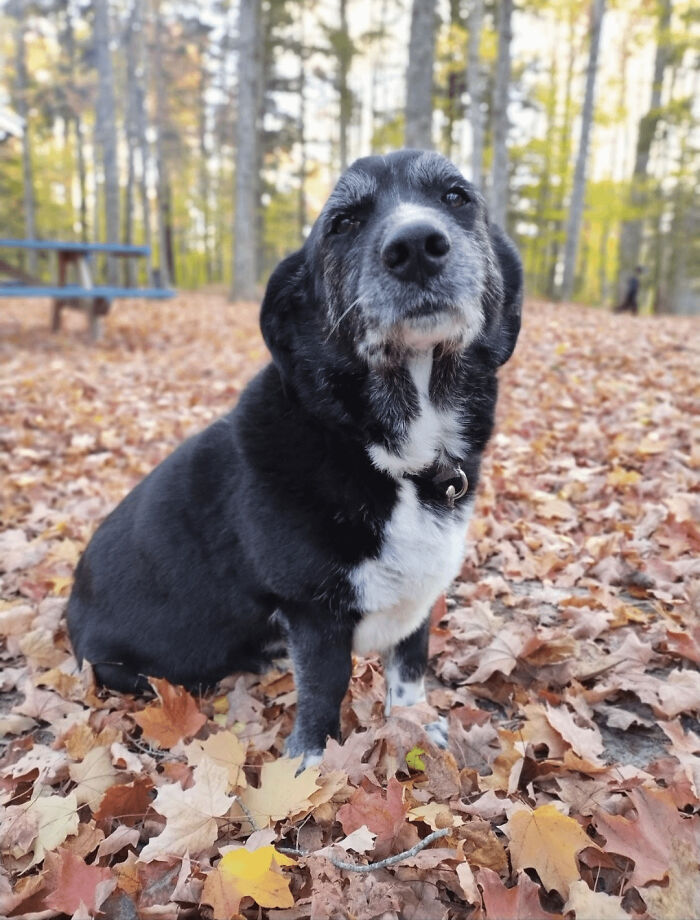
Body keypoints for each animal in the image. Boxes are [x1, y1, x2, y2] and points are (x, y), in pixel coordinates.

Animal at [68, 151, 524, 764]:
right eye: (343, 222)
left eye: (457, 197)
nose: (416, 245)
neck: (385, 449)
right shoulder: (313, 610)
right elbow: (327, 684)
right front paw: (313, 759)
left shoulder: (418, 602)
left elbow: (409, 669)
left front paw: (410, 723)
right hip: (130, 667)